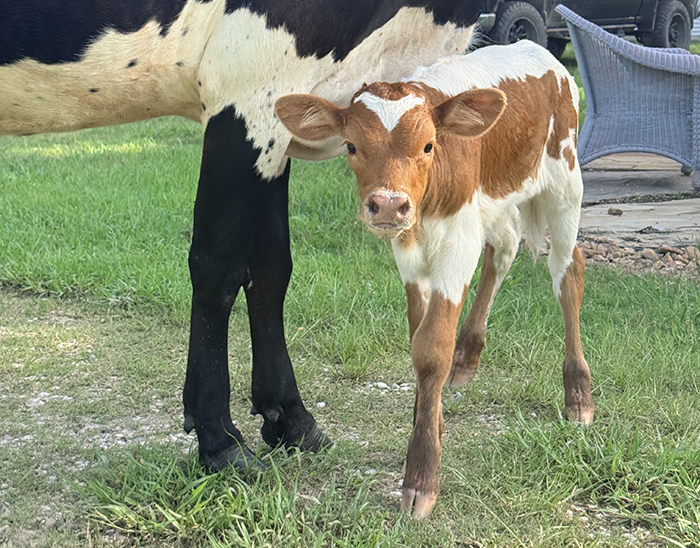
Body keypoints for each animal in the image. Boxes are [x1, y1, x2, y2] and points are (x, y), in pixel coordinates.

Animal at [0, 1, 484, 475]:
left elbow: (271, 267)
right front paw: (219, 439)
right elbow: (219, 264)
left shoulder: (279, 125)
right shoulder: (250, 88)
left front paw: (291, 419)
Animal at [275, 39, 595, 518]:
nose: (389, 205)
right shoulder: (409, 255)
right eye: (350, 146)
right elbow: (419, 336)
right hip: (498, 201)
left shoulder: (456, 246)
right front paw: (433, 416)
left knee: (567, 268)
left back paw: (578, 394)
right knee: (504, 247)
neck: (424, 212)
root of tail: (540, 52)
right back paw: (468, 357)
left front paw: (422, 475)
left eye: (428, 145)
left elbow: (431, 348)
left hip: (564, 181)